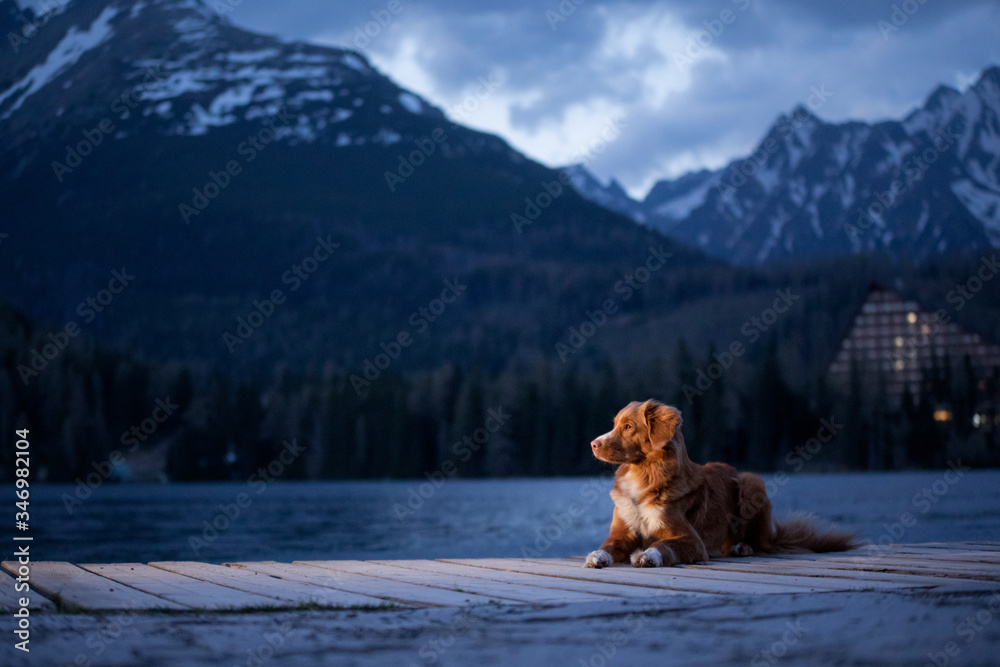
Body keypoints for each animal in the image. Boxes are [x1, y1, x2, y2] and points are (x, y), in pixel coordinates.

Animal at [584, 400, 860, 572]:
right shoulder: (621, 534)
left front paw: (646, 556)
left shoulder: (691, 540)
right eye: (614, 424)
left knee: (762, 544)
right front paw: (596, 556)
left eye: (628, 426)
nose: (593, 444)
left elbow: (661, 544)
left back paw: (742, 547)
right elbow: (607, 546)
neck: (643, 473)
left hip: (752, 483)